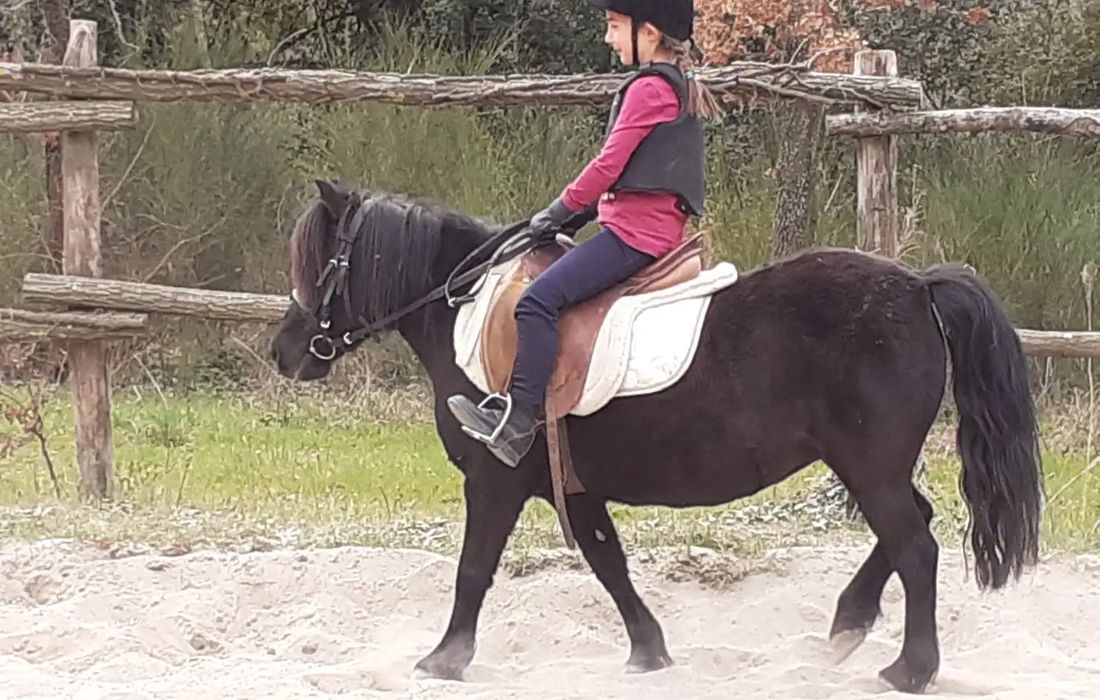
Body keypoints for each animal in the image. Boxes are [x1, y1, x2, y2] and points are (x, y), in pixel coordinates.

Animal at [269, 179, 1043, 694]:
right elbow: (608, 563)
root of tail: (916, 284)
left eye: (320, 261)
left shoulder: (496, 479)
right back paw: (849, 627)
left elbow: (474, 568)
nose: (286, 351)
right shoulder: (569, 485)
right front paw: (649, 653)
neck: (468, 311)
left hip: (868, 466)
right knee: (914, 526)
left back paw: (910, 669)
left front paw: (443, 659)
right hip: (872, 466)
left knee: (915, 545)